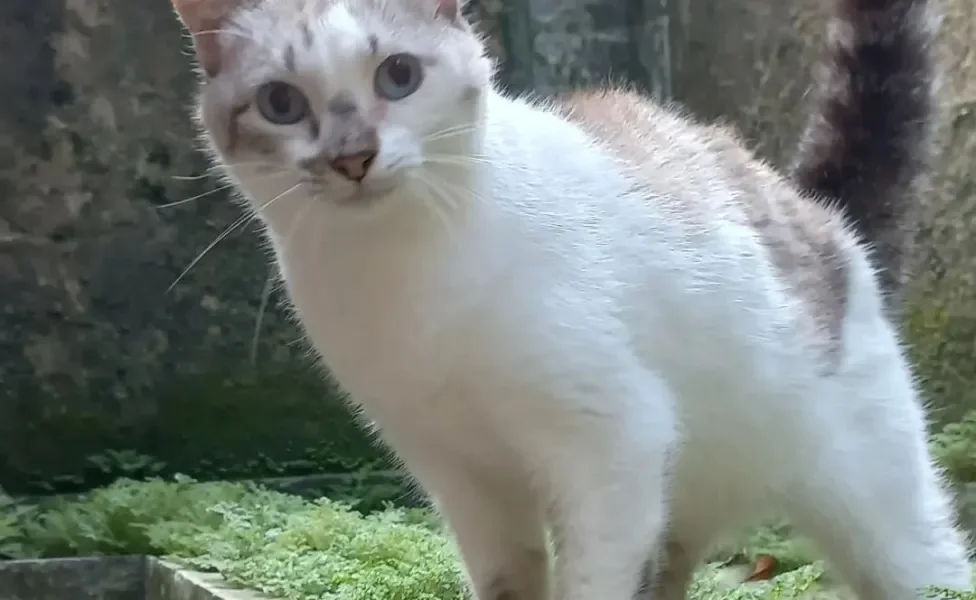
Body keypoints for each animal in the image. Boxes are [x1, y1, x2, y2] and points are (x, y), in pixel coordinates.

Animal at [172, 0, 972, 596]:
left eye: (398, 75)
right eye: (281, 102)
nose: (352, 157)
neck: (400, 274)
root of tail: (812, 207)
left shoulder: (612, 446)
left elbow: (589, 582)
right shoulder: (461, 477)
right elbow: (507, 583)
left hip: (884, 516)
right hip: (675, 506)